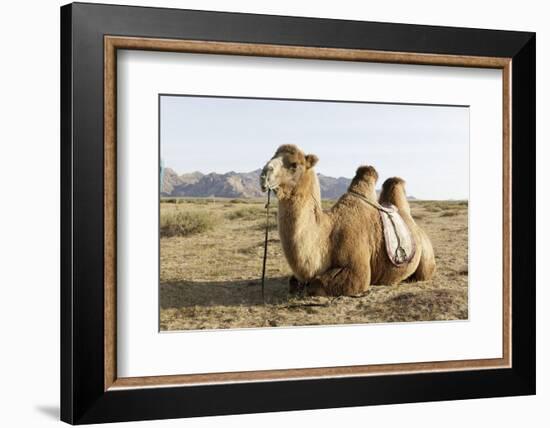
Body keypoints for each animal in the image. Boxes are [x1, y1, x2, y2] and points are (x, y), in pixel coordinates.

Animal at [260, 145, 438, 296]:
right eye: (272, 157)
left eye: (294, 164)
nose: (264, 175)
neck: (328, 234)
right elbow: (293, 282)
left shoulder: (358, 272)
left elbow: (318, 283)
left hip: (426, 258)